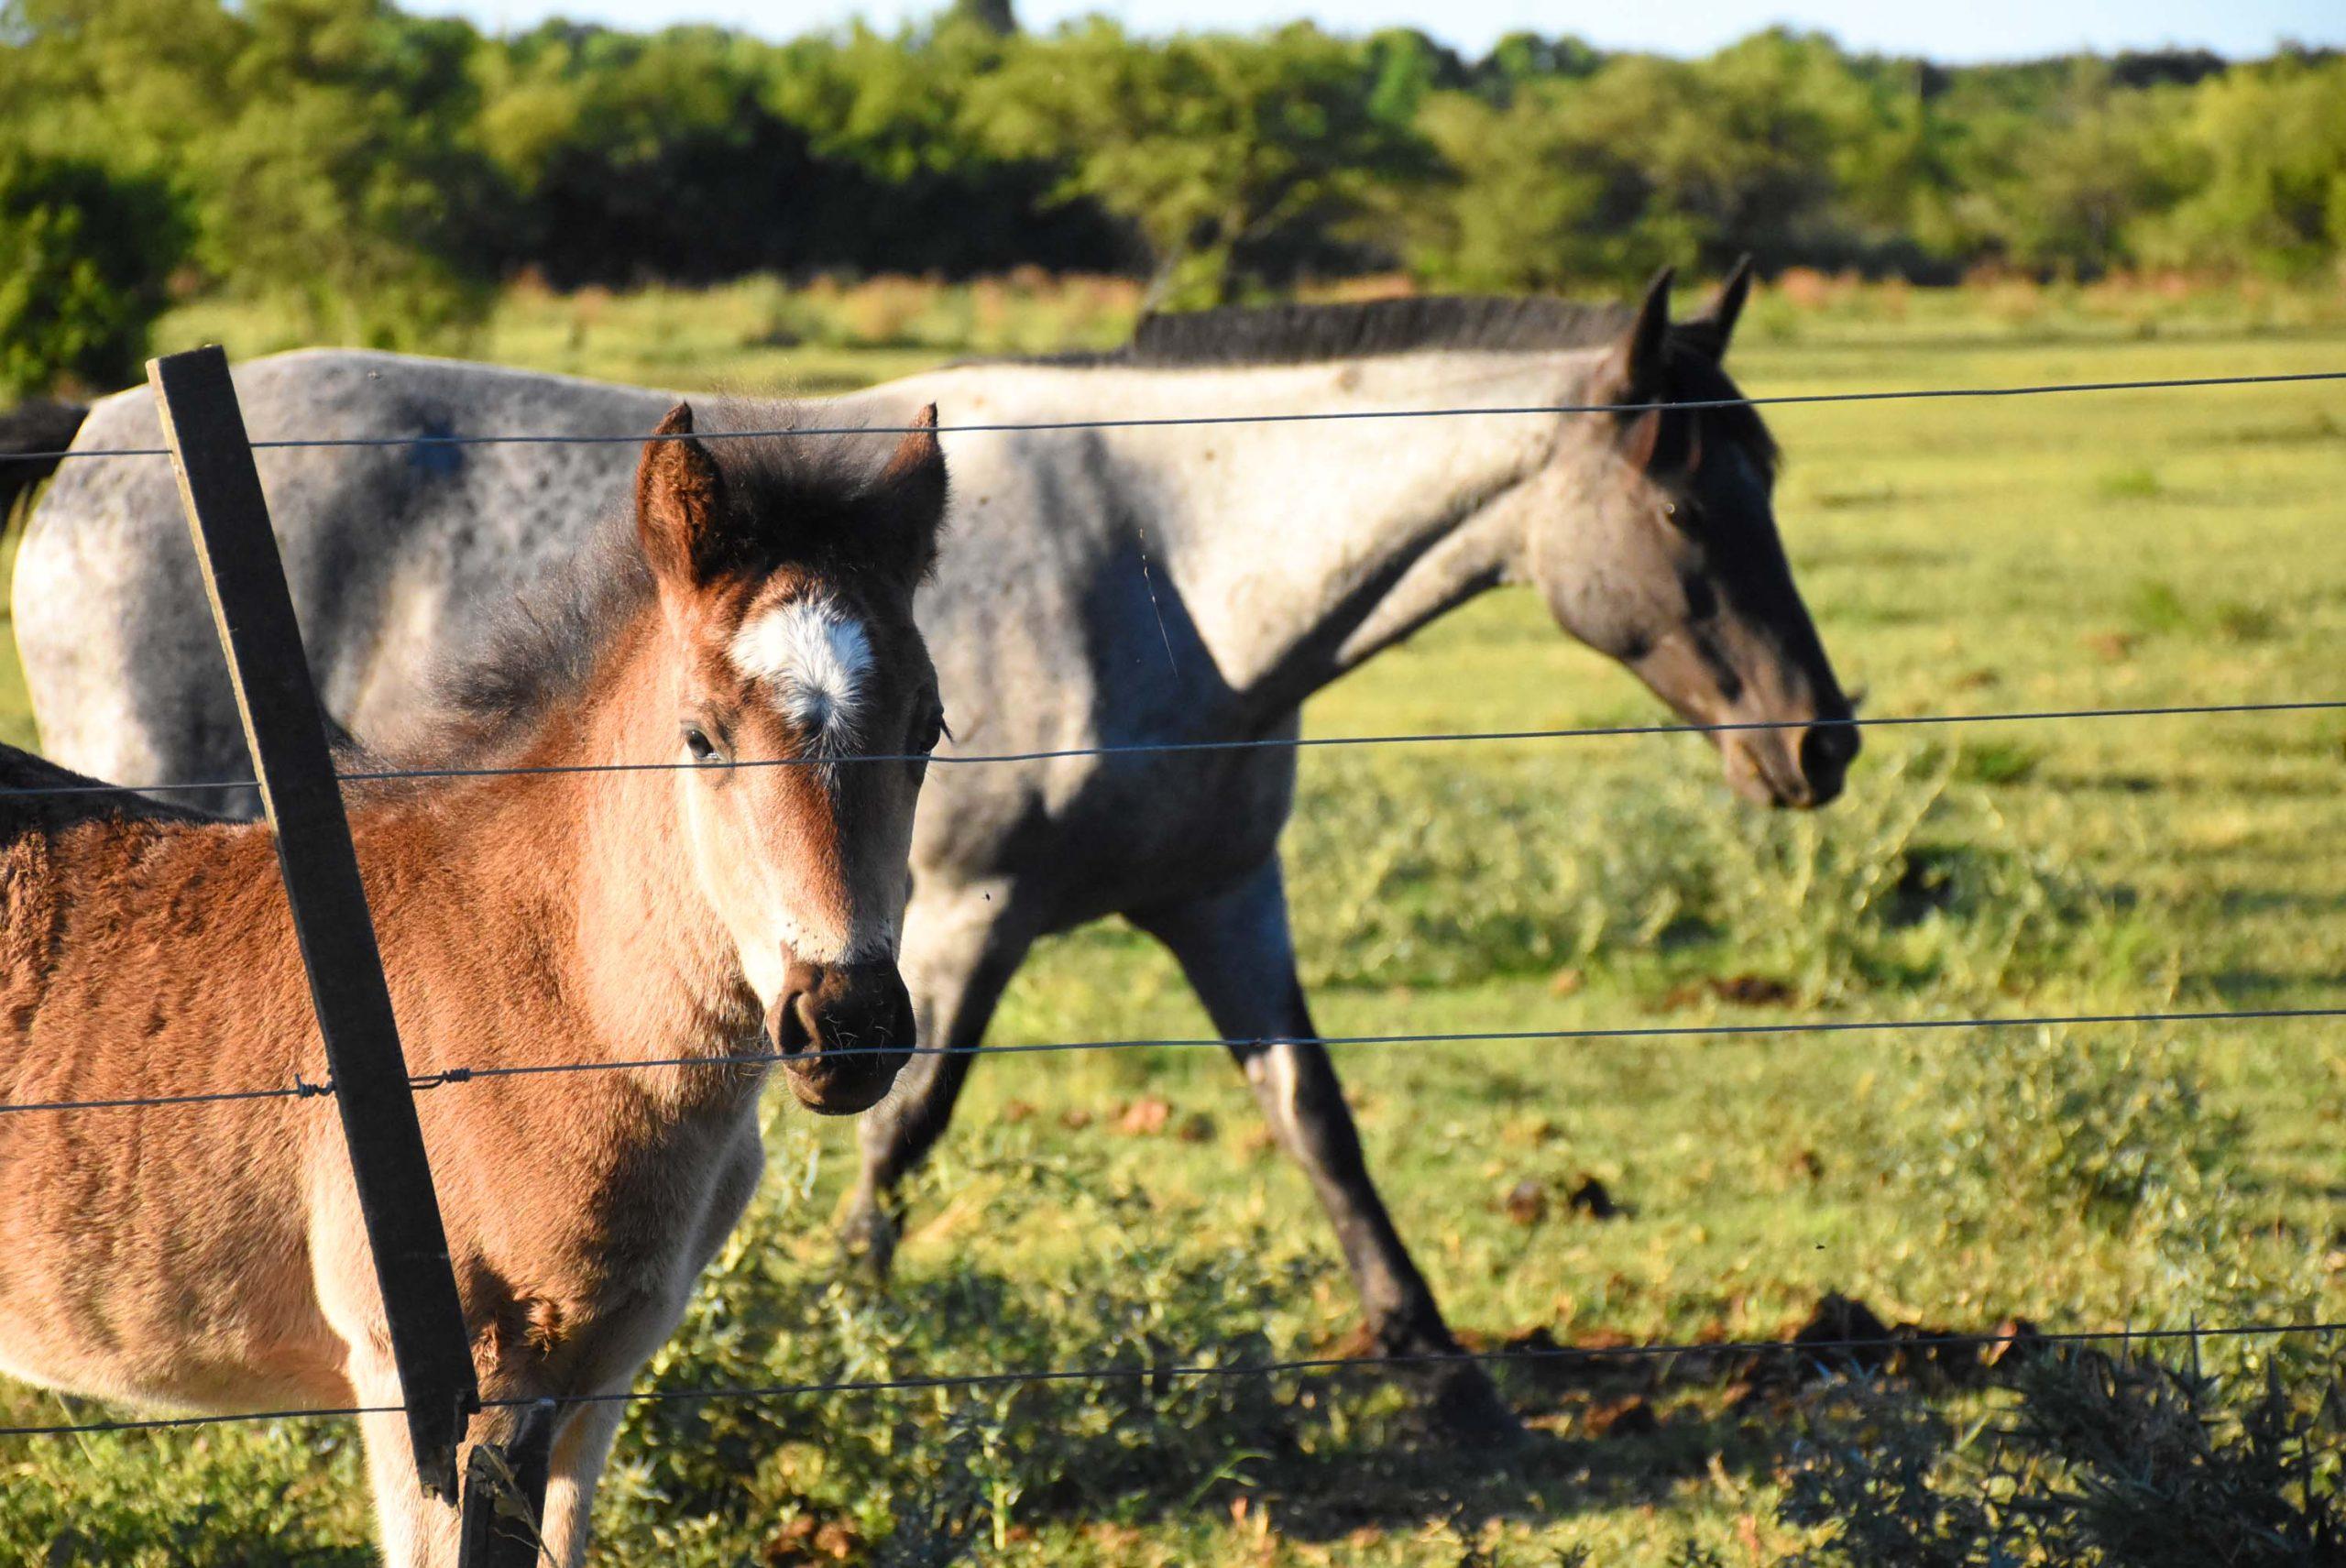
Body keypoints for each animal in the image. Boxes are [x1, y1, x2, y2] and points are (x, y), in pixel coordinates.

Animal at [0, 405, 950, 1565]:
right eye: (700, 736)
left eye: (928, 728)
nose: (847, 1021)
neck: (547, 997)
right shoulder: (431, 1392)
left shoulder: (598, 1386)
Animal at [7, 266, 1855, 1437]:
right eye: (1689, 507)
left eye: (1774, 483)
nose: (1820, 738)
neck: (1171, 567)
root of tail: (99, 427)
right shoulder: (961, 920)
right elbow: (908, 1127)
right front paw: (851, 1307)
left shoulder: (1221, 901)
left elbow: (1313, 1112)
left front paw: (1444, 1367)